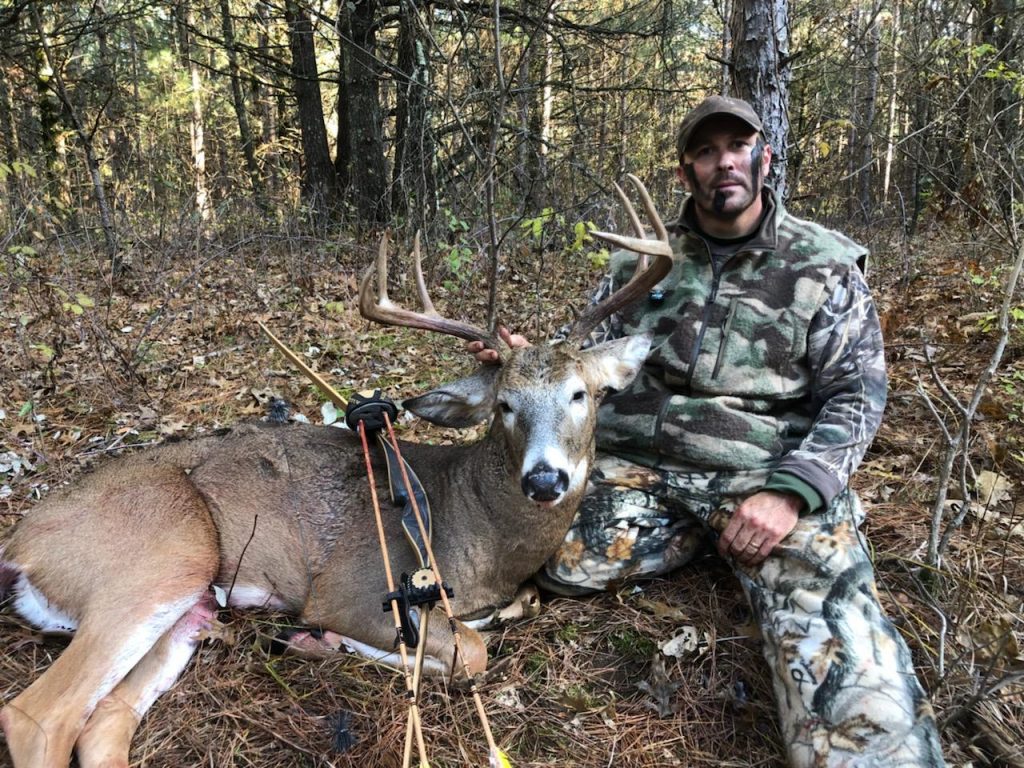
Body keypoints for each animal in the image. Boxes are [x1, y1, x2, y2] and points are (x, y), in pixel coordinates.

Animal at [0, 176, 673, 768]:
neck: (483, 537)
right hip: (163, 555)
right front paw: (322, 640)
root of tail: (18, 545)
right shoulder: (354, 588)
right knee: (39, 715)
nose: (544, 481)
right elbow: (470, 650)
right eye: (504, 403)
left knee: (104, 721)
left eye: (582, 394)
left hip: (187, 608)